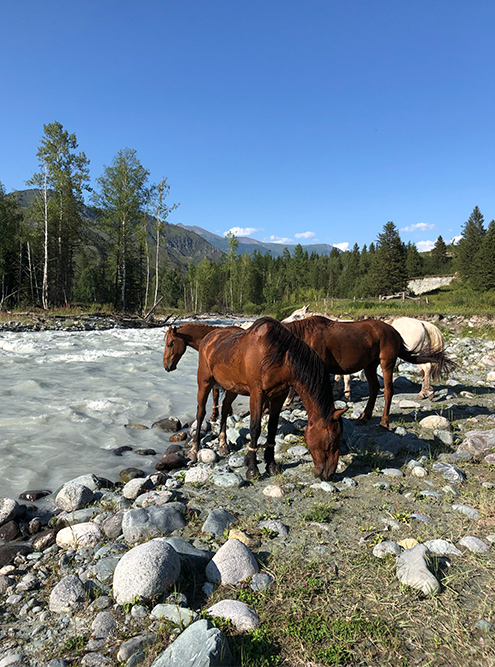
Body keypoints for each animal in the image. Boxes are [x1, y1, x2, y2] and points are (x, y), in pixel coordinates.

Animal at [192, 318, 346, 480]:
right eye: (332, 441)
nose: (329, 475)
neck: (281, 358)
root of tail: (209, 337)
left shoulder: (279, 395)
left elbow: (272, 428)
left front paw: (271, 464)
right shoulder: (257, 394)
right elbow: (255, 429)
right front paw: (252, 469)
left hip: (232, 388)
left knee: (225, 408)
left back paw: (223, 445)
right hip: (204, 382)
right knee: (200, 413)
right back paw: (194, 451)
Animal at [280, 318, 444, 428]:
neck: (306, 337)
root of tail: (393, 331)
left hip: (386, 363)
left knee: (388, 391)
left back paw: (384, 422)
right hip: (370, 366)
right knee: (374, 388)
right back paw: (365, 417)